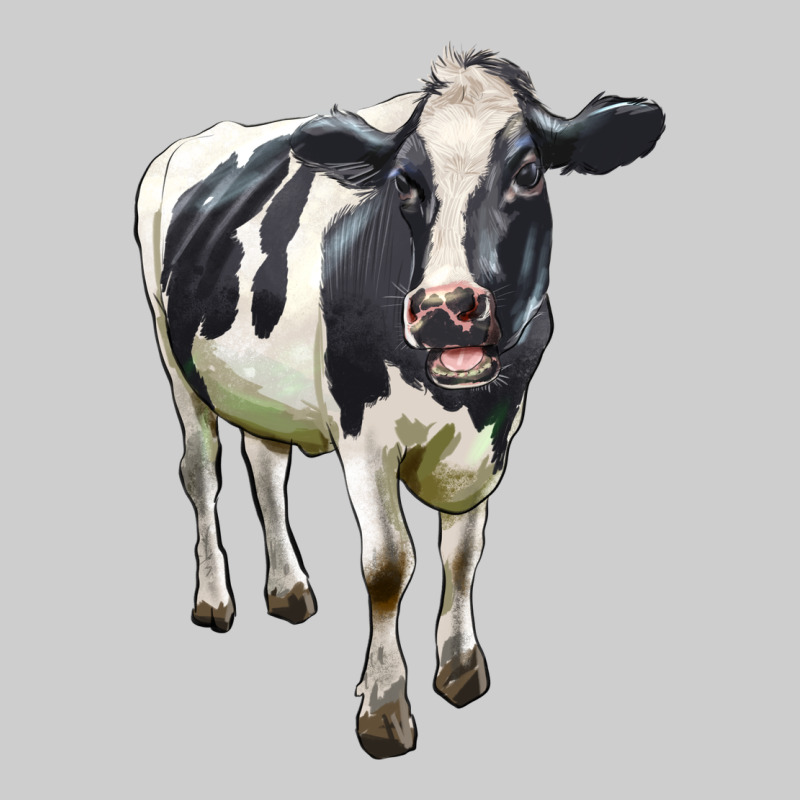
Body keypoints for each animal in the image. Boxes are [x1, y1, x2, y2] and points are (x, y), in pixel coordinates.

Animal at [135, 48, 664, 759]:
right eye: (406, 183)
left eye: (527, 172)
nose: (445, 308)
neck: (461, 403)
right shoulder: (363, 433)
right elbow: (389, 564)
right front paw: (384, 707)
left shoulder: (495, 437)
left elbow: (463, 552)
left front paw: (461, 667)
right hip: (175, 363)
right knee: (201, 475)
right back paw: (215, 598)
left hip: (261, 387)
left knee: (267, 468)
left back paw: (288, 588)